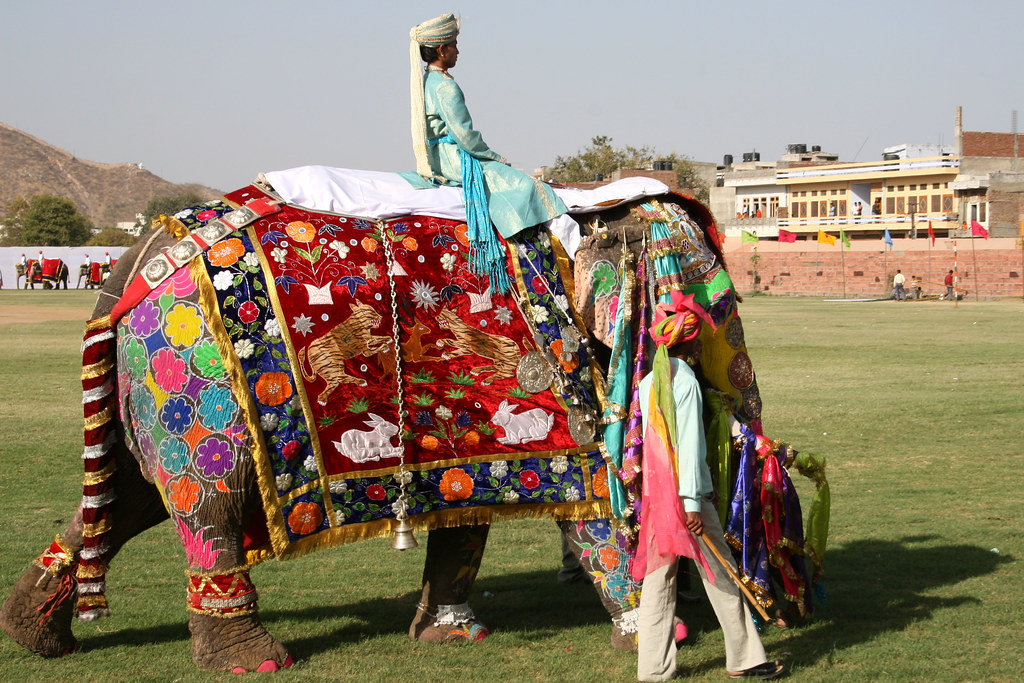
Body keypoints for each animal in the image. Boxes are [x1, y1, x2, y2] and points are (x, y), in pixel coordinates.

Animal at [0, 166, 827, 671]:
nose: (789, 613)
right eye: (717, 306)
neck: (584, 206)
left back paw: (37, 636)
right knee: (211, 508)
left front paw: (452, 633)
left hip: (143, 394)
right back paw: (254, 657)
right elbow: (591, 504)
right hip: (201, 390)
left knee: (126, 496)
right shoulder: (560, 368)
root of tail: (127, 274)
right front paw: (661, 633)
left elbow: (469, 507)